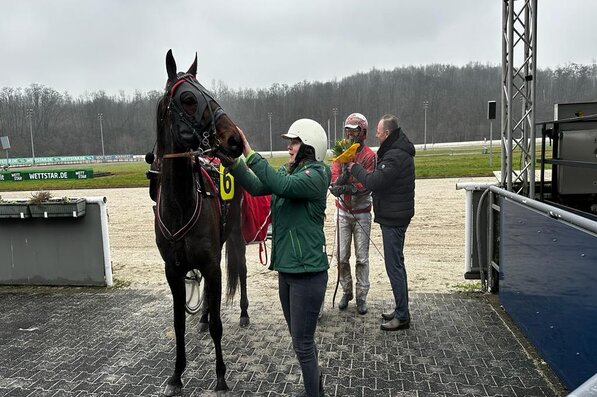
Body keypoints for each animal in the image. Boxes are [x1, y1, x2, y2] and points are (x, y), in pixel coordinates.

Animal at [154, 50, 249, 396]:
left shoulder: (210, 261)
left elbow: (220, 324)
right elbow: (178, 322)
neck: (181, 205)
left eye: (209, 92)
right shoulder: (173, 269)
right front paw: (177, 373)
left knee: (240, 270)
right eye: (188, 99)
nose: (234, 139)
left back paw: (243, 313)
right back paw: (203, 317)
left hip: (234, 234)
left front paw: (221, 375)